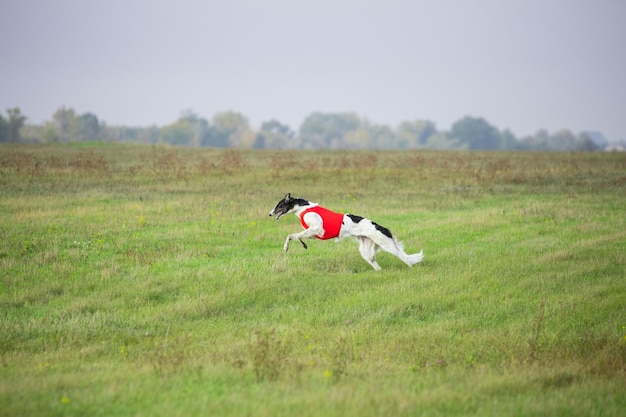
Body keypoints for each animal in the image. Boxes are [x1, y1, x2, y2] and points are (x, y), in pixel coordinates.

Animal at [266, 192, 422, 270]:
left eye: (279, 205)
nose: (269, 214)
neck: (304, 208)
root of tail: (382, 227)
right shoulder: (314, 233)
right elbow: (298, 236)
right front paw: (303, 244)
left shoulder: (318, 229)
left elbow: (291, 235)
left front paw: (286, 247)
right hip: (366, 251)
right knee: (376, 265)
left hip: (386, 244)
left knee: (403, 257)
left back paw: (411, 267)